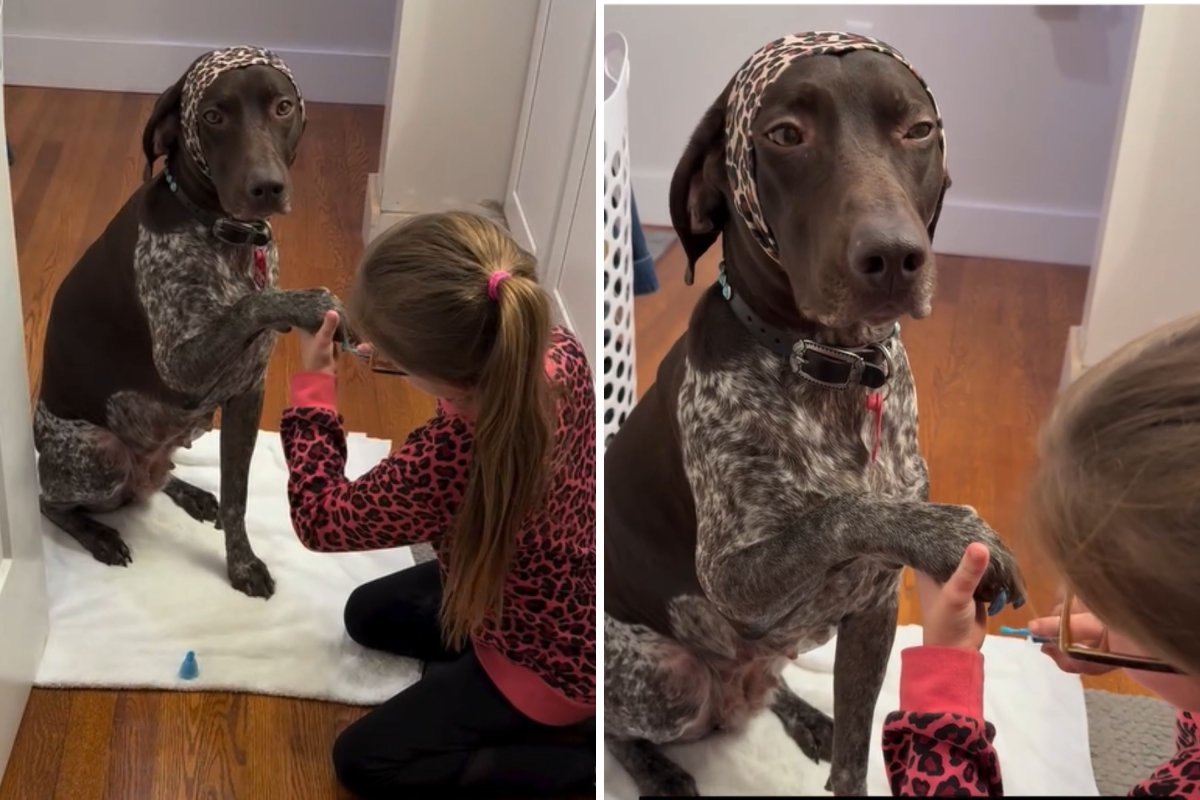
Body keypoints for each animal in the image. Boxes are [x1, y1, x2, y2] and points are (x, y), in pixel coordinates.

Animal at [36, 43, 348, 594]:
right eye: (213, 116)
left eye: (282, 107)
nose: (267, 188)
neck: (221, 232)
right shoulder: (181, 367)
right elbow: (252, 304)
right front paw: (311, 303)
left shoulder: (247, 395)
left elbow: (237, 495)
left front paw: (239, 560)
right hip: (100, 451)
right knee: (53, 503)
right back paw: (99, 536)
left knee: (154, 479)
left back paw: (189, 492)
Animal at [604, 29, 1027, 796]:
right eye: (784, 135)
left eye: (918, 129)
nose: (893, 256)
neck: (834, 370)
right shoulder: (732, 577)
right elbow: (841, 510)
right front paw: (950, 531)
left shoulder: (874, 611)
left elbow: (856, 753)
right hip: (670, 676)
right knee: (622, 723)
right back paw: (658, 772)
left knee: (769, 684)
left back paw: (801, 715)